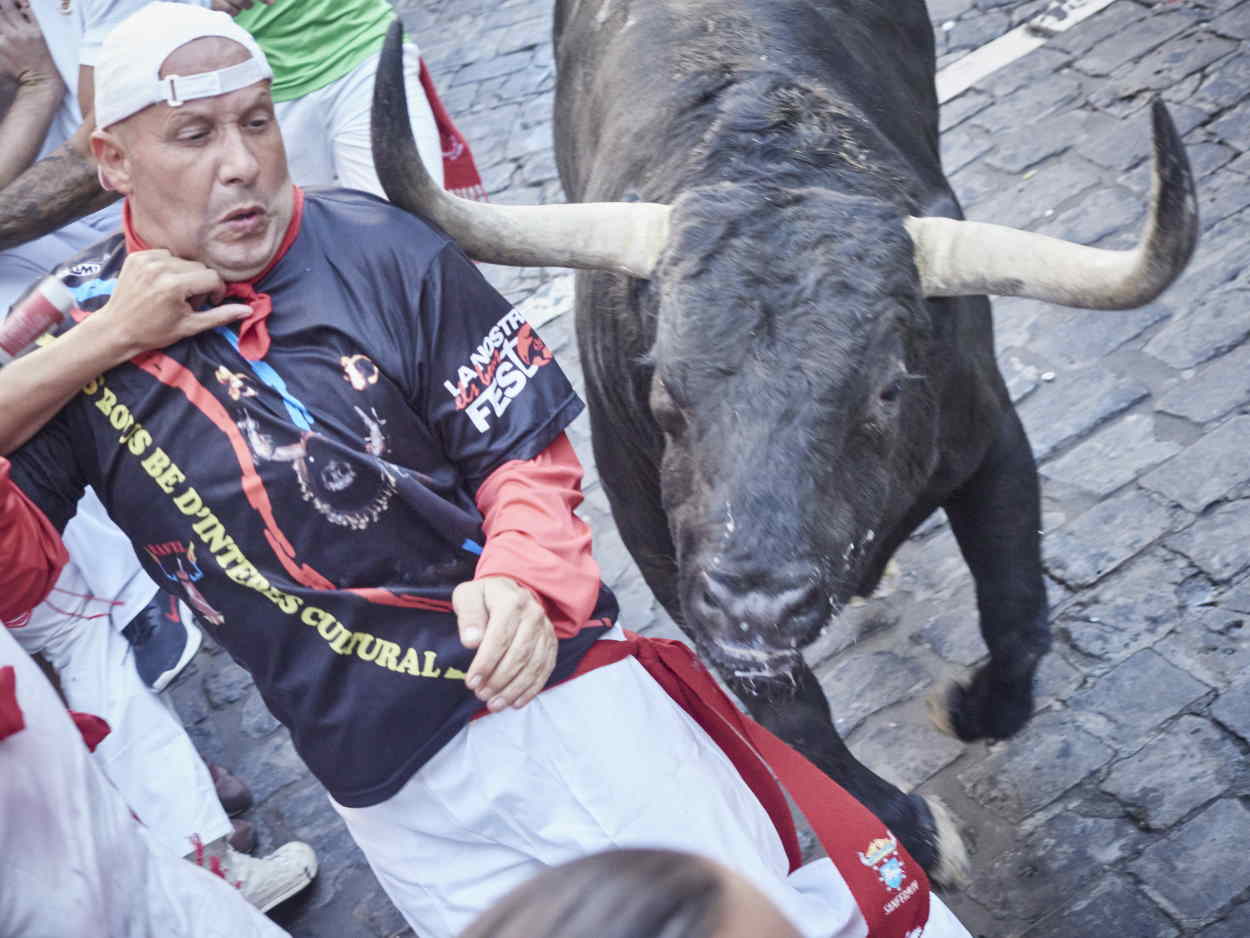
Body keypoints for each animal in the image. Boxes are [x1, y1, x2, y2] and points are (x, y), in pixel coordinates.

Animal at [372, 1, 1200, 890]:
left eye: (887, 388)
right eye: (664, 386)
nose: (758, 605)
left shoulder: (991, 442)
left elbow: (1017, 612)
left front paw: (972, 709)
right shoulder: (656, 537)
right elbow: (792, 713)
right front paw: (916, 832)